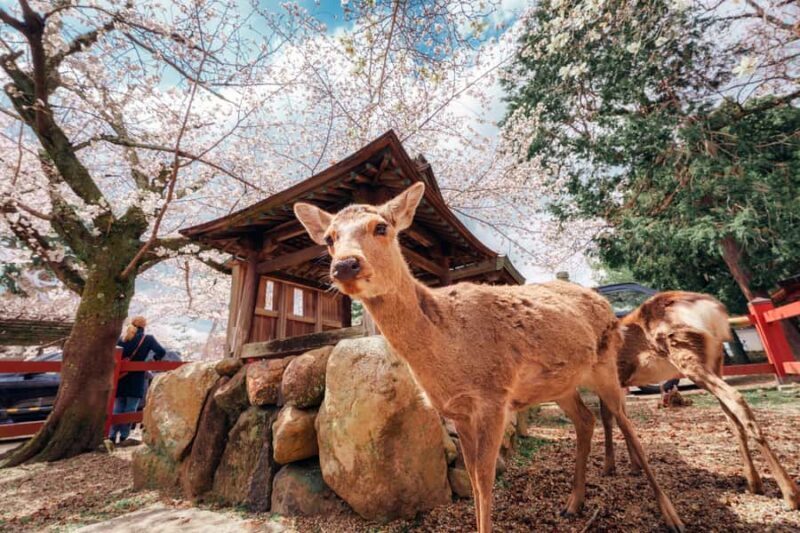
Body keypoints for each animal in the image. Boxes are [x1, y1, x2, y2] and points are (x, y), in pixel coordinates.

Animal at [294, 182, 684, 533]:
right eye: (328, 238)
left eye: (381, 227)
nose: (345, 265)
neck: (446, 351)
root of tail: (603, 303)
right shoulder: (459, 412)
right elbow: (474, 479)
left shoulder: (494, 397)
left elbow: (484, 479)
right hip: (560, 384)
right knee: (586, 419)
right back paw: (573, 503)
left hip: (605, 364)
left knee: (625, 421)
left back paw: (671, 515)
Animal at [599, 291, 800, 511]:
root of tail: (710, 309)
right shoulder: (620, 383)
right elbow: (623, 418)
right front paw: (633, 466)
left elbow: (607, 419)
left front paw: (608, 468)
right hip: (715, 361)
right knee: (730, 415)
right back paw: (754, 483)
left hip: (686, 354)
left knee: (735, 397)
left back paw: (790, 494)